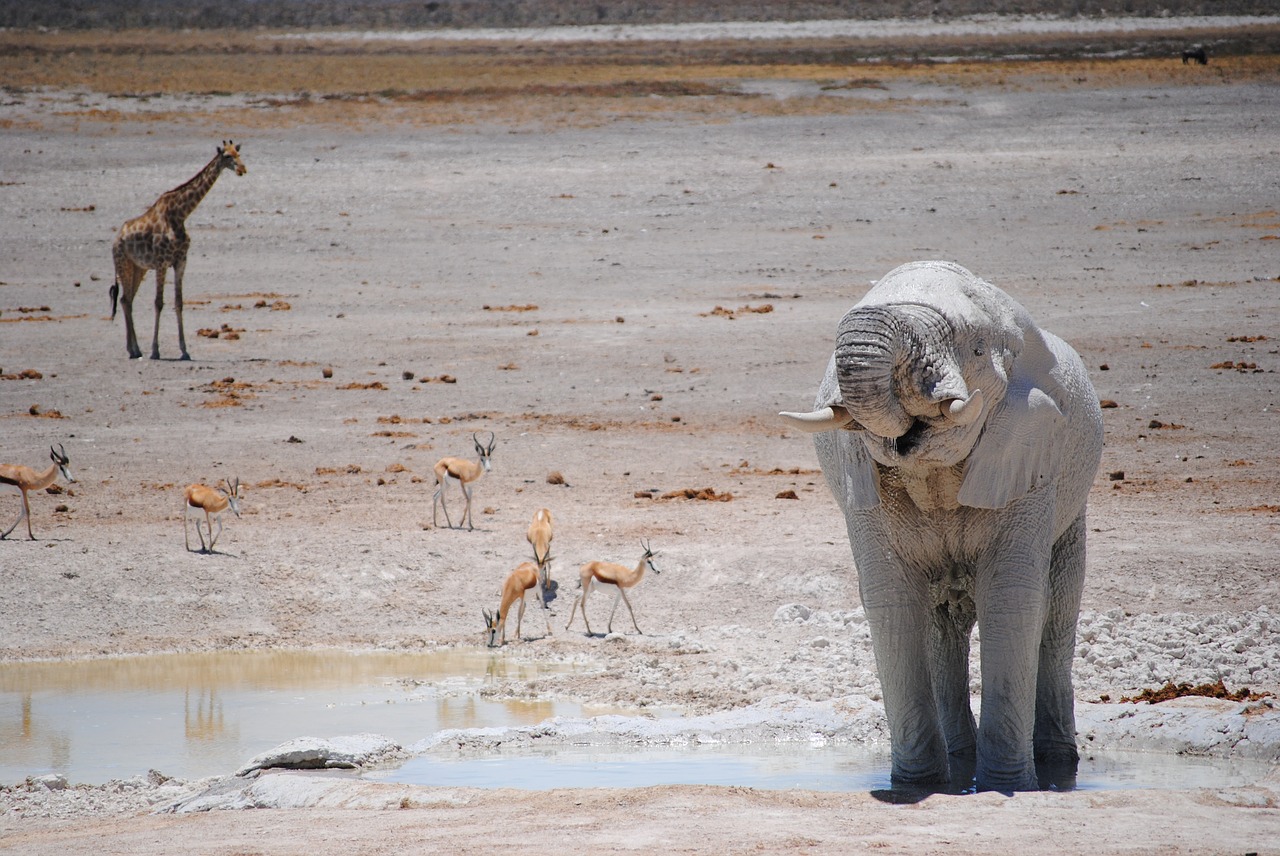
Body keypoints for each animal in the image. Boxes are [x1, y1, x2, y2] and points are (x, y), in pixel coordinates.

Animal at [109, 139, 247, 358]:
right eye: (227, 156)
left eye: (238, 153)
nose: (242, 169)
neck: (180, 214)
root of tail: (115, 241)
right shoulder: (161, 262)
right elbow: (159, 303)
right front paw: (155, 351)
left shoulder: (181, 261)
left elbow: (179, 302)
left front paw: (184, 350)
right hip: (123, 264)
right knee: (125, 299)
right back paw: (135, 349)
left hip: (138, 268)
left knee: (125, 300)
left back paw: (134, 349)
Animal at [773, 262, 1105, 793]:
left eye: (975, 349)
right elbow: (890, 596)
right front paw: (914, 787)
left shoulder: (1030, 455)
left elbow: (1012, 595)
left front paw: (1008, 786)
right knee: (939, 625)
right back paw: (958, 758)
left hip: (1072, 505)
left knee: (1057, 613)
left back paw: (1058, 765)